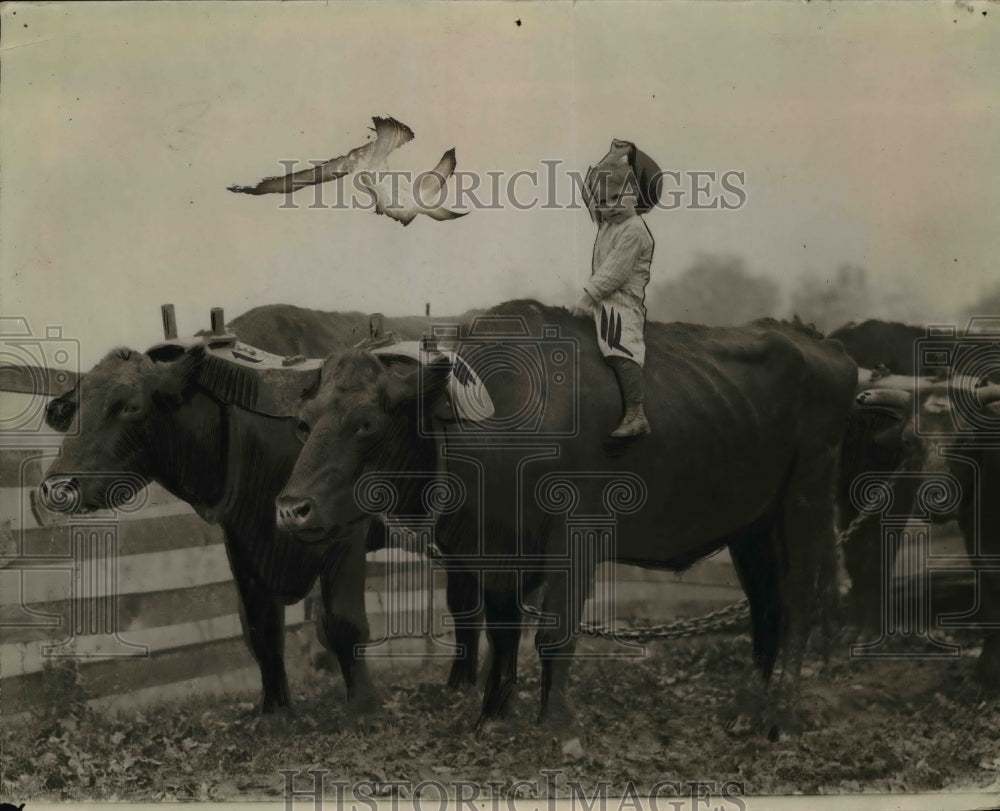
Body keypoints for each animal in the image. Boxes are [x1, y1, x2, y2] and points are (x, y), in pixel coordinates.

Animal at [276, 302, 860, 732]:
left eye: (366, 422)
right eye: (303, 423)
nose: (291, 509)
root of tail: (825, 347)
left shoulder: (576, 540)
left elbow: (554, 634)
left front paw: (555, 723)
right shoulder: (496, 550)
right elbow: (502, 630)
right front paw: (494, 716)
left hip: (806, 497)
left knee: (800, 599)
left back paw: (781, 711)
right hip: (752, 523)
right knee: (766, 602)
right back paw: (748, 705)